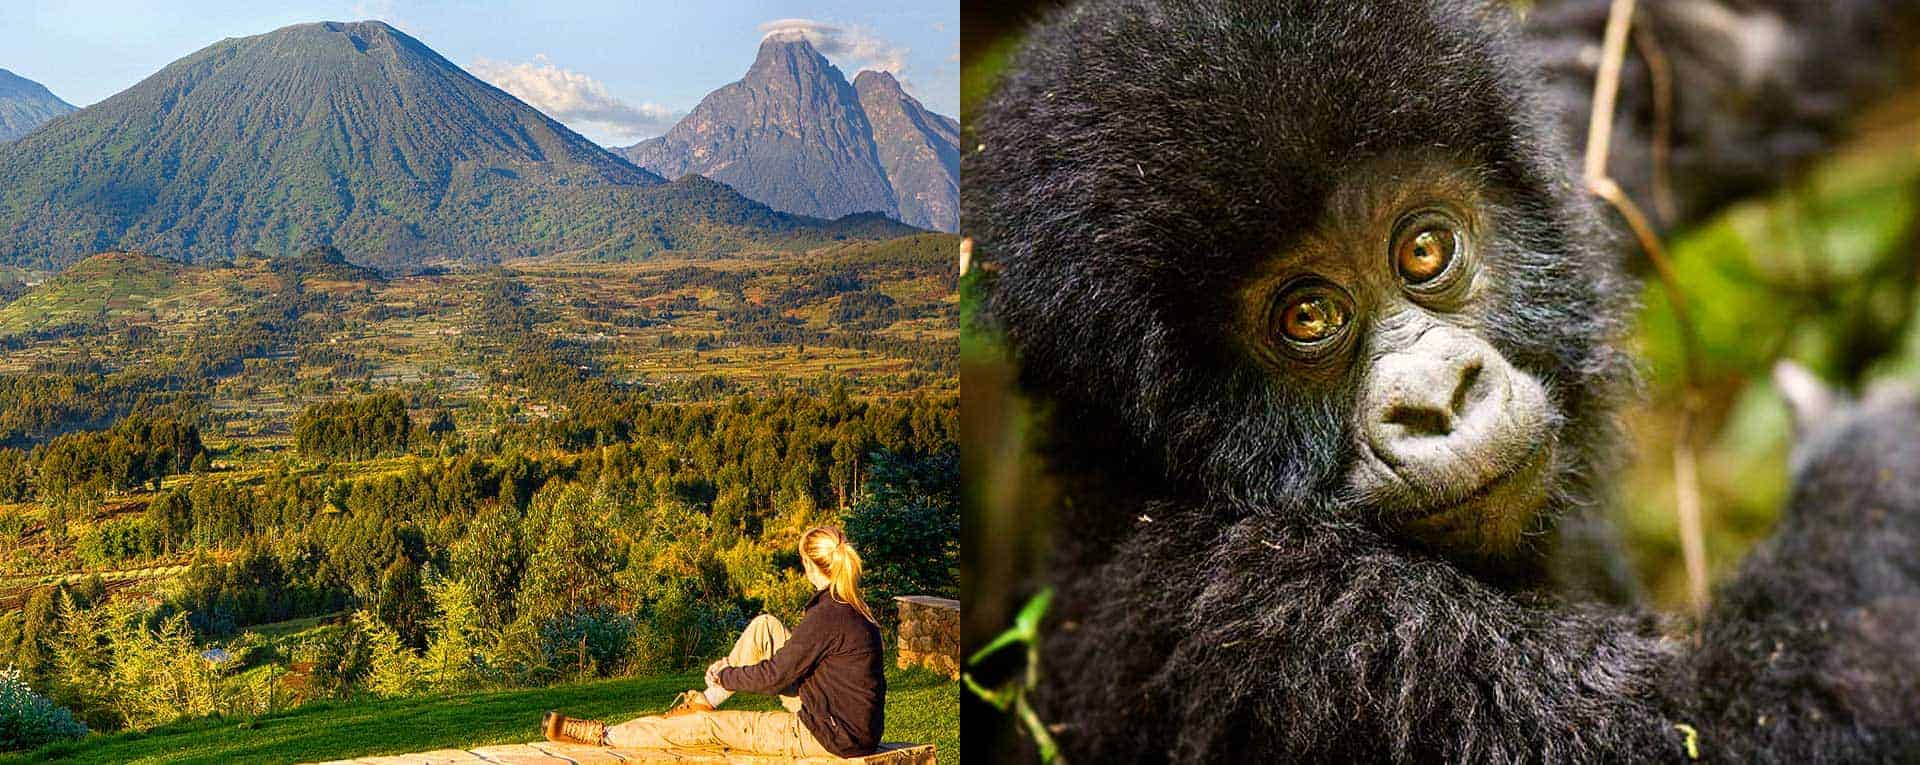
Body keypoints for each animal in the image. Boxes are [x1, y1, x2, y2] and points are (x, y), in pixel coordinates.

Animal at [963, 0, 1920, 760]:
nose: (1440, 399)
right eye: (1307, 318)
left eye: (1424, 249)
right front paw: (1878, 464)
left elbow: (1720, 58)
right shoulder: (1286, 619)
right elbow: (1717, 727)